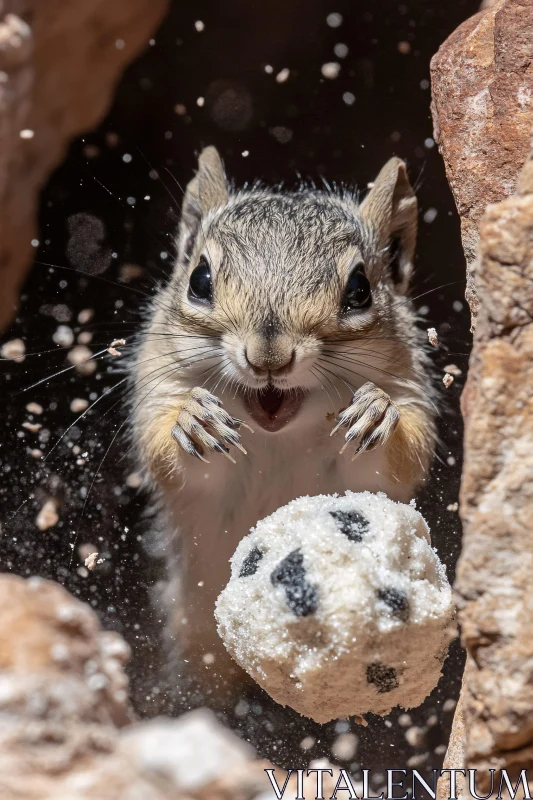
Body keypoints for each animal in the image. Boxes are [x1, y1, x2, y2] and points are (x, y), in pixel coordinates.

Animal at [130, 147, 436, 696]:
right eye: (199, 280)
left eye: (360, 289)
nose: (268, 357)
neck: (279, 435)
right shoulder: (159, 386)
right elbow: (172, 456)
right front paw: (193, 419)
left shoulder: (410, 392)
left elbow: (397, 461)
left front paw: (377, 410)